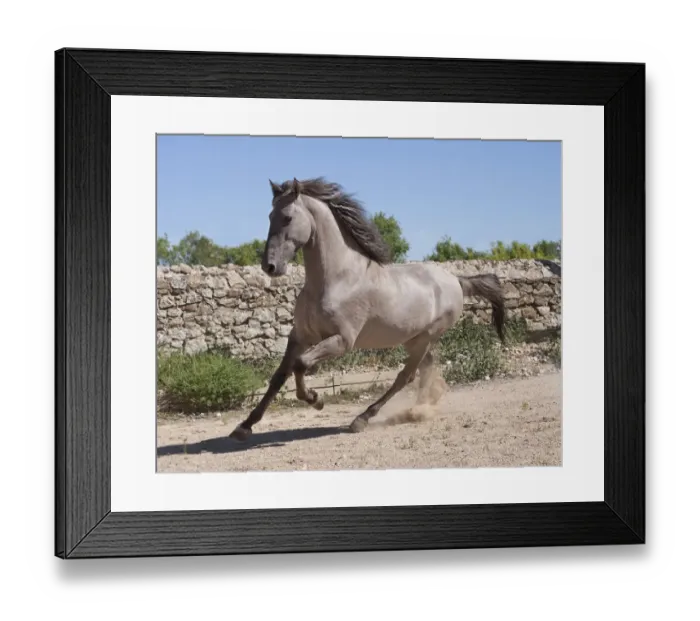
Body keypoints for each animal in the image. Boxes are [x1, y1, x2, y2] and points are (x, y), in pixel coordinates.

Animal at [229, 177, 506, 441]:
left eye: (287, 217)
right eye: (269, 216)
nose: (270, 266)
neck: (336, 280)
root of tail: (457, 281)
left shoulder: (342, 341)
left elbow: (301, 364)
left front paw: (316, 399)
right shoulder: (300, 336)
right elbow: (279, 376)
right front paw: (244, 427)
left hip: (425, 338)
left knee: (405, 376)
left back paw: (362, 419)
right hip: (413, 339)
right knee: (424, 370)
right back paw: (417, 410)